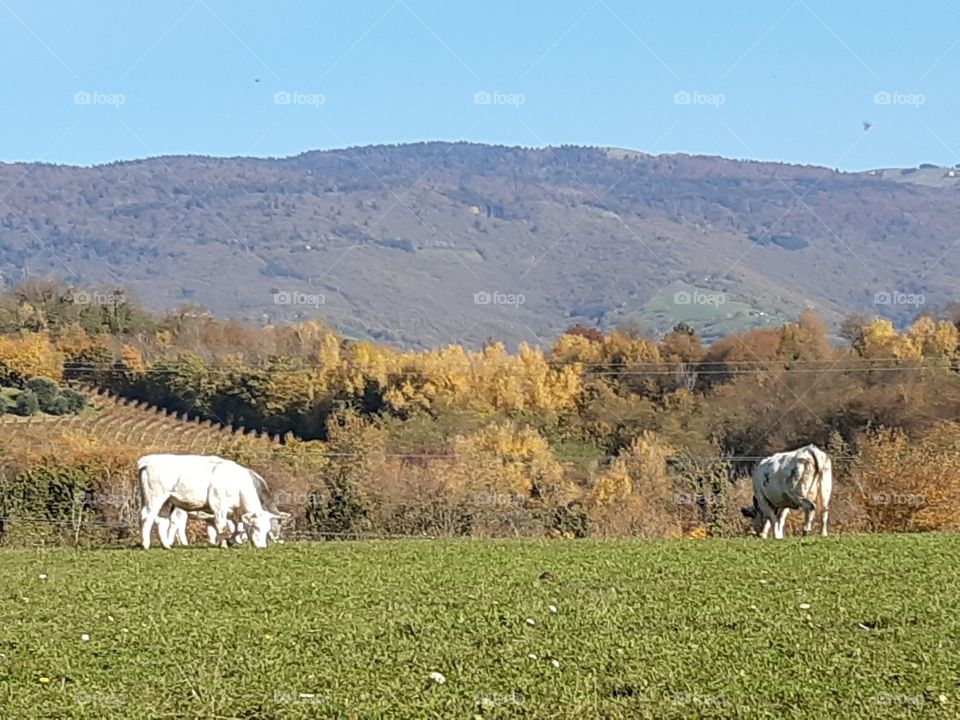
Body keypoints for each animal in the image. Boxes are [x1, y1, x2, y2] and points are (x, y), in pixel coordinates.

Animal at [138, 454, 290, 549]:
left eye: (267, 529)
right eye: (255, 528)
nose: (262, 547)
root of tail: (148, 460)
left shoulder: (235, 512)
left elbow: (238, 528)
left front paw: (231, 541)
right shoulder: (219, 505)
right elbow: (221, 525)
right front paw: (224, 544)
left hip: (167, 501)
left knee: (162, 520)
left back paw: (166, 545)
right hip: (155, 496)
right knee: (148, 517)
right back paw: (146, 545)